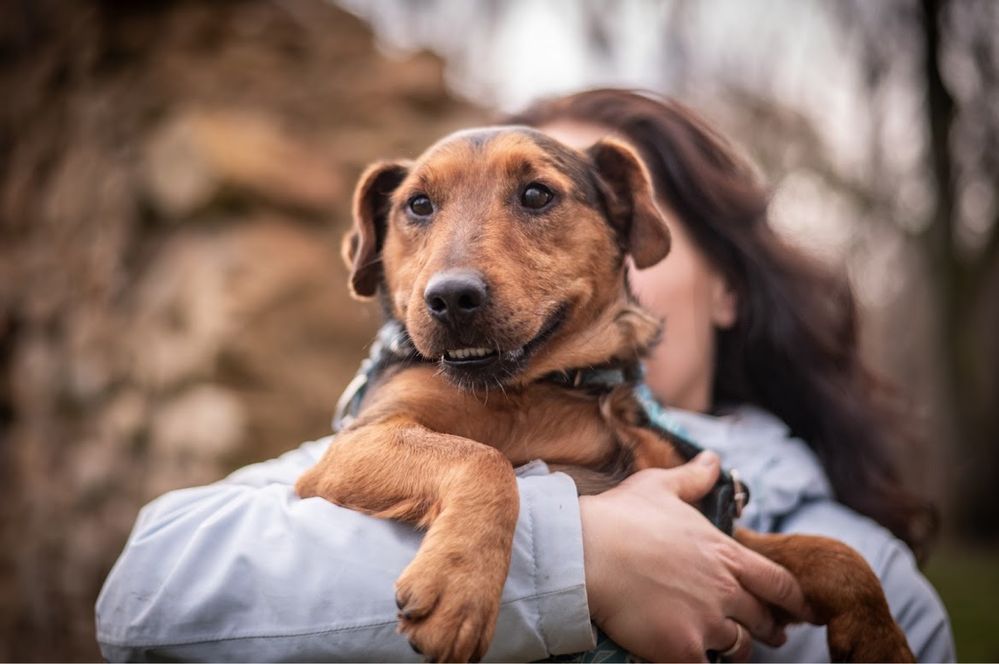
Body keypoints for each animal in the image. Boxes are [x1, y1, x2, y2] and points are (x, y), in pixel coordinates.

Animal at [294, 127, 916, 660]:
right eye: (418, 205)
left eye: (537, 194)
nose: (450, 298)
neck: (546, 388)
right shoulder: (354, 444)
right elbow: (482, 459)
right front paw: (460, 584)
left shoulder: (714, 522)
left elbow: (836, 554)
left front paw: (884, 642)